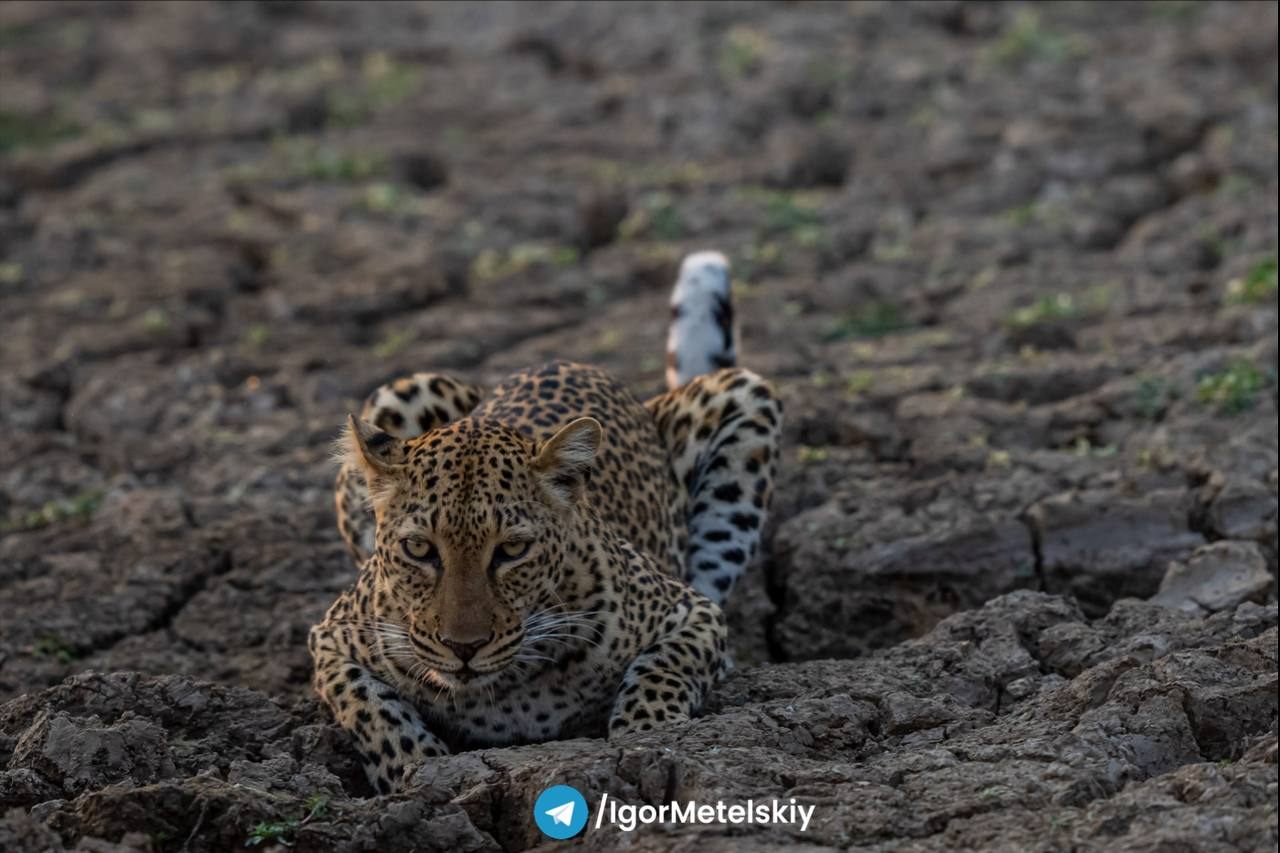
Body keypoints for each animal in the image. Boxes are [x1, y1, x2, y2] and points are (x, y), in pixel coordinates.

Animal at [309, 249, 778, 794]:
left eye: (511, 550)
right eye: (420, 549)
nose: (463, 648)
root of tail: (573, 361)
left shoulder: (691, 613)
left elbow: (662, 671)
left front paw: (647, 738)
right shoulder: (332, 639)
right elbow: (372, 714)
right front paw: (420, 772)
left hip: (744, 401)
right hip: (400, 392)